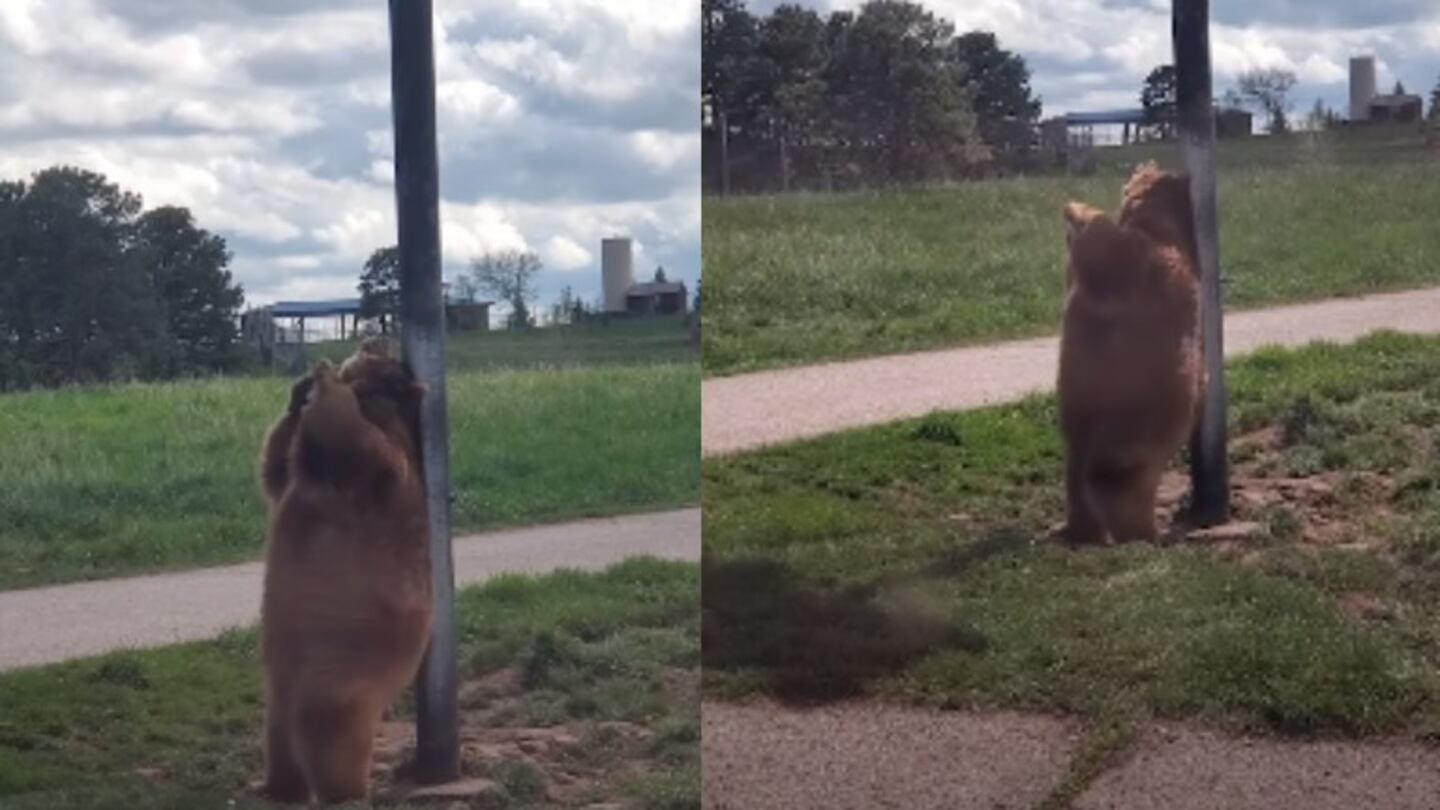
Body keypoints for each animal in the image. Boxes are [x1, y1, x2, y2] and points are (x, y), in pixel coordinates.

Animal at [259, 335, 429, 801]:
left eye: (390, 362)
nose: (374, 336)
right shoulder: (297, 476)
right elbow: (276, 466)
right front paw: (299, 389)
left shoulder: (383, 476)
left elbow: (361, 442)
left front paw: (325, 379)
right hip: (278, 701)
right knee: (280, 746)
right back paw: (278, 787)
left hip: (338, 687)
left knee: (332, 743)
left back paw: (345, 791)